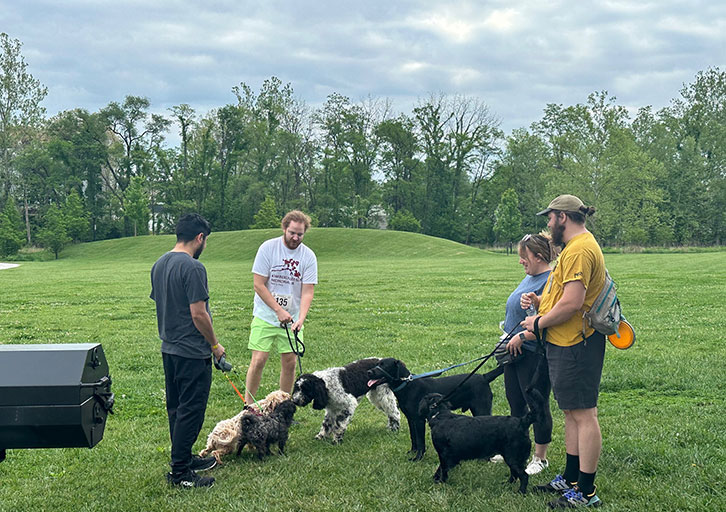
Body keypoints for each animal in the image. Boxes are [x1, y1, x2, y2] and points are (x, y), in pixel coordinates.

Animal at [366, 358, 504, 462]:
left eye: (384, 365)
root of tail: (484, 377)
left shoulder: (419, 420)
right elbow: (413, 438)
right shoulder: (411, 419)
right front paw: (412, 452)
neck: (407, 385)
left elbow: (420, 442)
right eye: (377, 364)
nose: (368, 372)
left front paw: (417, 458)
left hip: (482, 408)